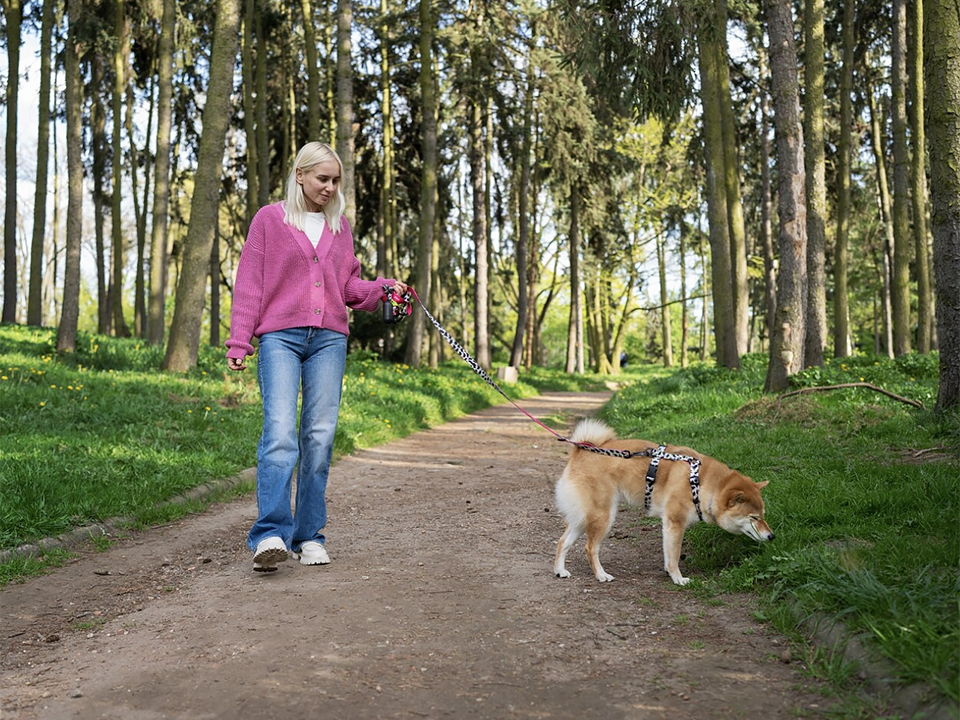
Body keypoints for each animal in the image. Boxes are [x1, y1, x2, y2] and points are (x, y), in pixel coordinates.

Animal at [556, 422, 772, 584]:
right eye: (754, 517)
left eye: (763, 515)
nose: (772, 536)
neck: (700, 483)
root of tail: (580, 451)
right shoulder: (676, 523)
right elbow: (675, 555)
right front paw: (678, 578)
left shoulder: (668, 525)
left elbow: (669, 554)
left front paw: (670, 573)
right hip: (603, 516)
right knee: (590, 548)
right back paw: (601, 575)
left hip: (583, 518)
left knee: (563, 542)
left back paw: (560, 570)